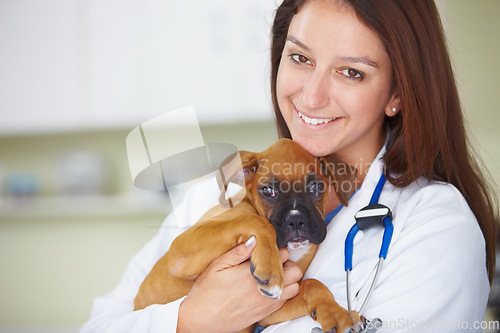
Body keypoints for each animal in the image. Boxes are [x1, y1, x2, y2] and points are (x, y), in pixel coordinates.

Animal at [135, 138, 362, 332]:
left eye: (315, 186)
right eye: (268, 190)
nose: (296, 220)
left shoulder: (268, 310)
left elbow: (312, 285)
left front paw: (337, 313)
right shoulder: (181, 249)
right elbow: (257, 221)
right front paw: (269, 266)